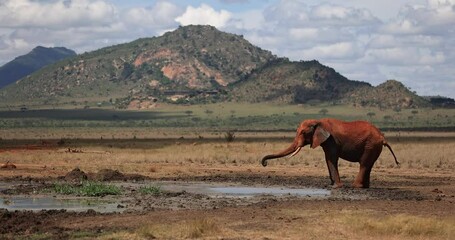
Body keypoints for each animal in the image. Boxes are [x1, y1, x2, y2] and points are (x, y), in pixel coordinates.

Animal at [260, 119, 400, 188]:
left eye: (303, 133)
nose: (264, 163)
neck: (318, 122)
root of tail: (382, 137)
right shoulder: (326, 142)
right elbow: (327, 159)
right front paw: (331, 185)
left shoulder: (332, 140)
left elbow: (332, 159)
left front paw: (336, 187)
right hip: (373, 146)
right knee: (369, 165)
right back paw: (365, 187)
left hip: (370, 145)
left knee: (364, 164)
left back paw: (356, 186)